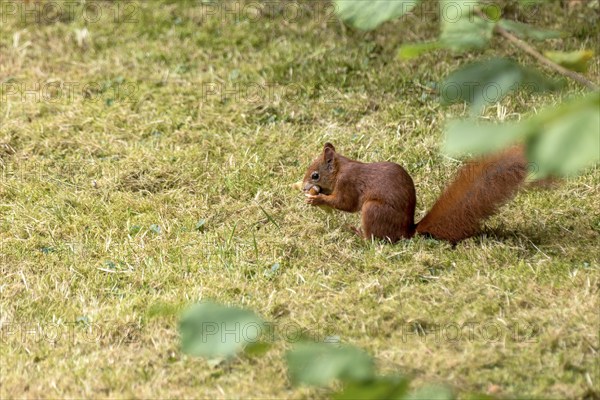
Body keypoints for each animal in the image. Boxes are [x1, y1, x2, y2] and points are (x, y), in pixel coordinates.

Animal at [302, 144, 528, 244]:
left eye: (315, 175)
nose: (304, 187)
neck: (341, 169)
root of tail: (407, 231)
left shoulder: (348, 183)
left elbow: (345, 204)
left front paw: (317, 199)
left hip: (373, 209)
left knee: (376, 239)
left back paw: (358, 234)